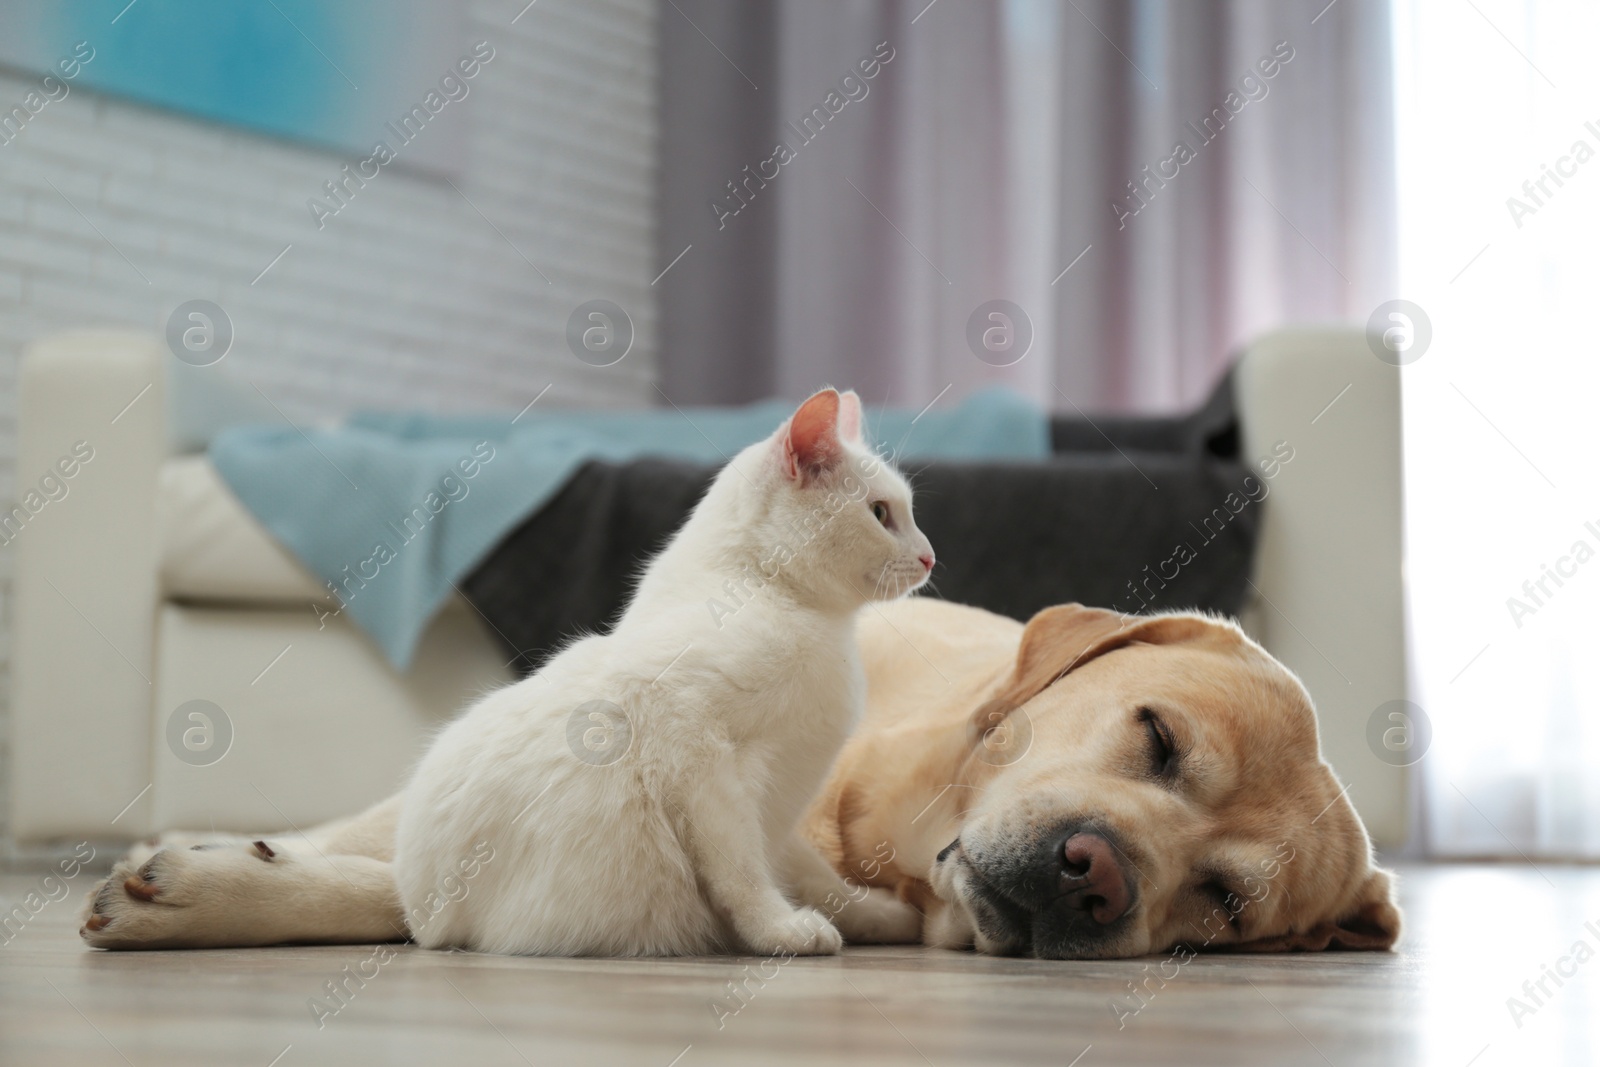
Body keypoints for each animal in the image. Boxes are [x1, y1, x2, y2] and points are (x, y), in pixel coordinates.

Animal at [392, 388, 934, 953]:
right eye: (880, 512)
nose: (930, 557)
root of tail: (421, 919)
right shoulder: (696, 755)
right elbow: (743, 873)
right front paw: (780, 930)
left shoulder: (780, 812)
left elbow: (815, 873)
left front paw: (880, 914)